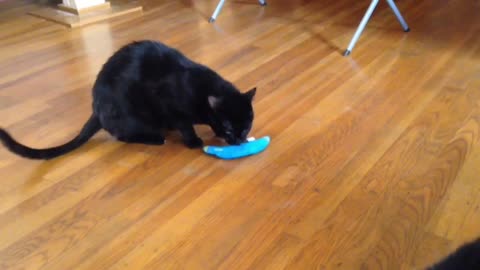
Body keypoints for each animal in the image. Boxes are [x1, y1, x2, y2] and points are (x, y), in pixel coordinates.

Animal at [0, 39, 256, 159]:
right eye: (229, 127)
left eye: (246, 127)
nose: (239, 141)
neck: (202, 90)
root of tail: (96, 108)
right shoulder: (172, 106)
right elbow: (185, 125)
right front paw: (194, 141)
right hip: (132, 113)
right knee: (122, 135)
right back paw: (156, 138)